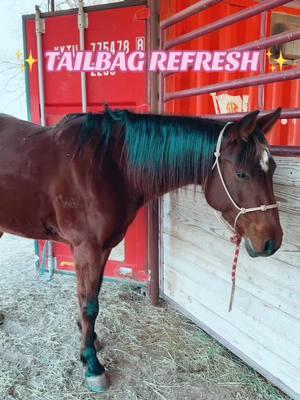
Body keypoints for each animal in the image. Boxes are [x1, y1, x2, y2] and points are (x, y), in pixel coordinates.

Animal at [0, 108, 282, 392]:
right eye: (241, 174)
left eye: (272, 169)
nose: (273, 242)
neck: (106, 167)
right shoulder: (87, 249)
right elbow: (89, 305)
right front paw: (91, 364)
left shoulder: (101, 250)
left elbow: (90, 298)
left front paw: (90, 338)